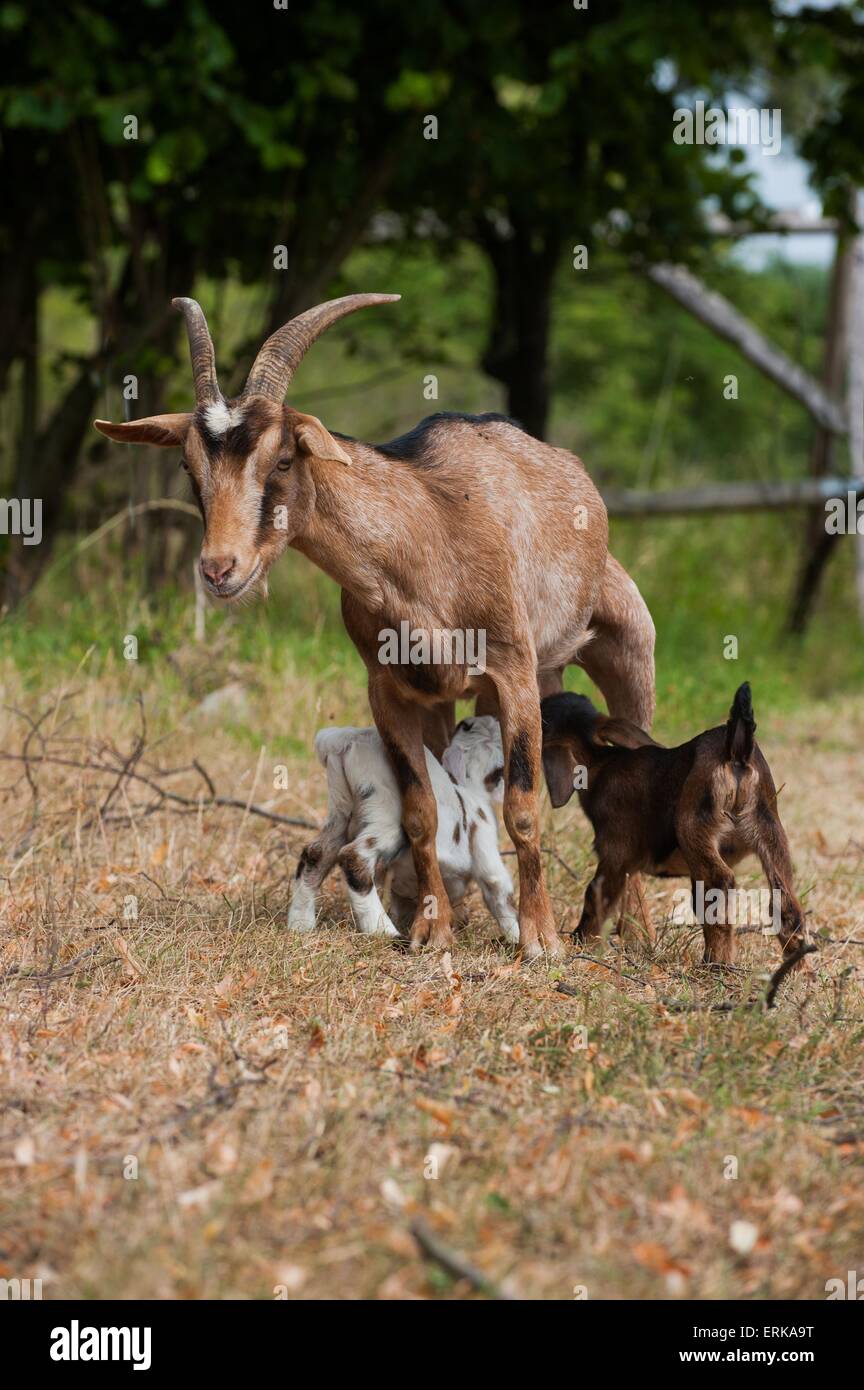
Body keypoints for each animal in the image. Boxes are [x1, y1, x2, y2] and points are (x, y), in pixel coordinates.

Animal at [291, 717, 522, 945]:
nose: (468, 720)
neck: (470, 790)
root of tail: (349, 738)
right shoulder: (486, 850)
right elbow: (500, 893)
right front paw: (519, 940)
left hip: (341, 810)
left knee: (317, 853)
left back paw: (301, 923)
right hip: (385, 810)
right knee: (354, 856)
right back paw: (383, 931)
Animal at [541, 683, 811, 967]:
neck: (600, 762)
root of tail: (735, 753)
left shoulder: (615, 852)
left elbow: (596, 896)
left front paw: (581, 941)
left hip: (693, 827)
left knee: (721, 883)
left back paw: (717, 965)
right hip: (771, 832)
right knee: (786, 904)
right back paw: (798, 970)